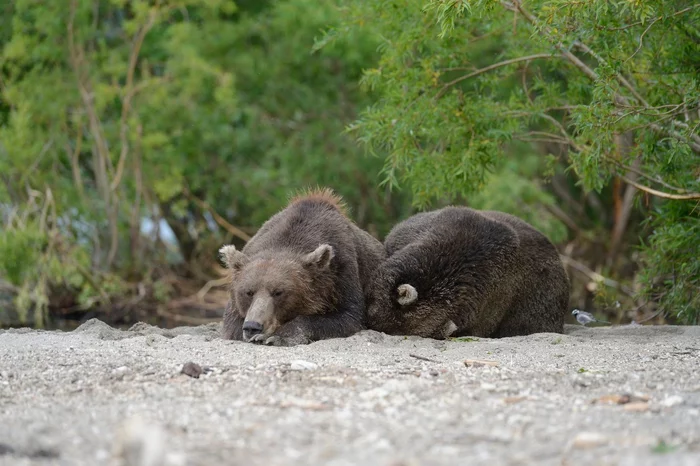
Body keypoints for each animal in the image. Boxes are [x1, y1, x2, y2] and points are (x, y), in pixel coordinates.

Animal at [219, 188, 386, 346]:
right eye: (248, 292)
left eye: (278, 292)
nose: (253, 326)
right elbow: (232, 325)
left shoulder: (342, 271)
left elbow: (347, 316)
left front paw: (277, 337)